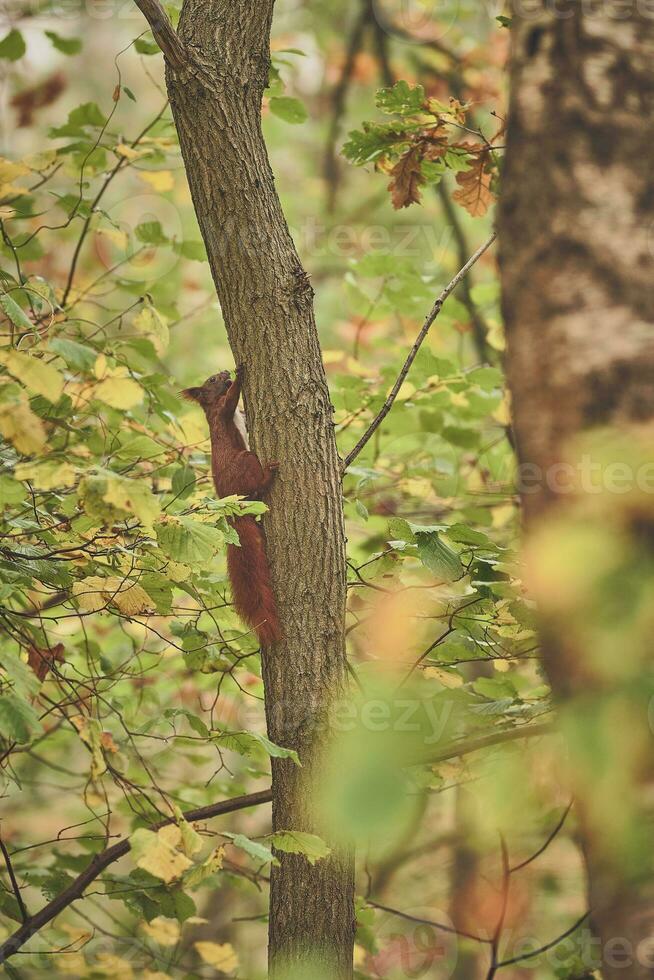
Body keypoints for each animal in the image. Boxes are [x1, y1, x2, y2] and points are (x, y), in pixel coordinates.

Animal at [182, 364, 282, 648]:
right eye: (212, 380)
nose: (225, 371)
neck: (210, 404)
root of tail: (232, 506)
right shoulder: (221, 412)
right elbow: (230, 401)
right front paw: (240, 374)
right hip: (246, 462)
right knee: (256, 486)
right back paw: (268, 475)